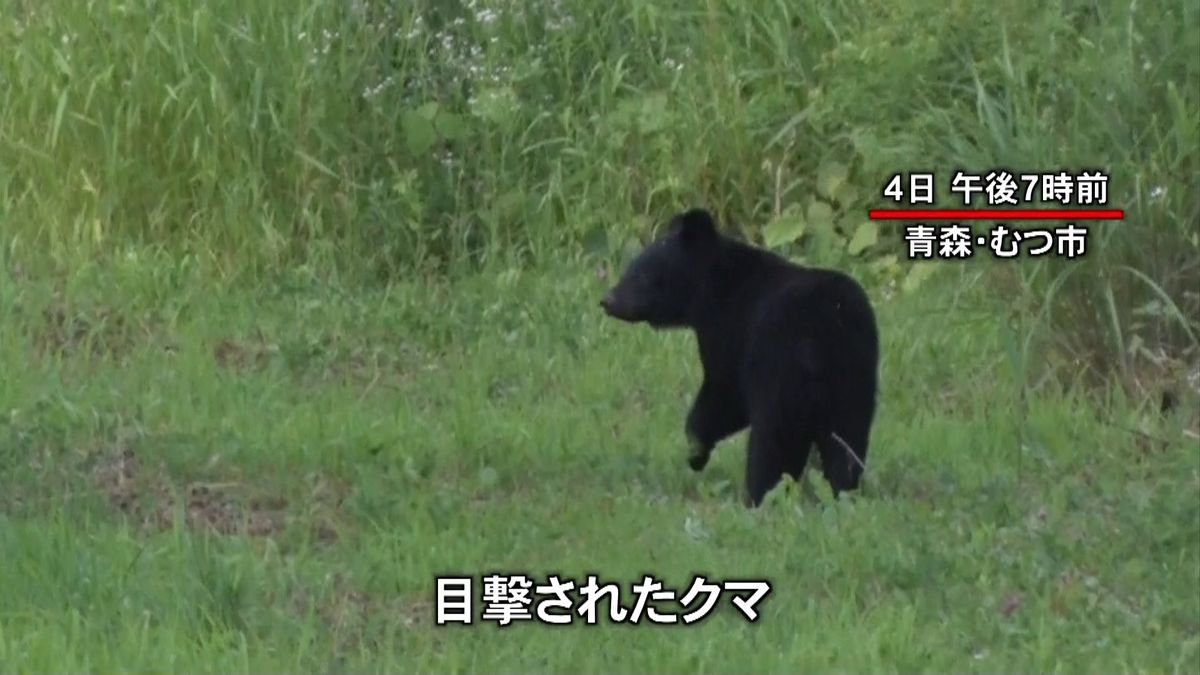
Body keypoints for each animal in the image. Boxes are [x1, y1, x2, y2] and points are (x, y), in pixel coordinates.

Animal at [600, 205, 883, 504]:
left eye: (641, 274)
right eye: (629, 268)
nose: (607, 300)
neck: (716, 285)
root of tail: (824, 332)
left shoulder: (730, 333)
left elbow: (725, 393)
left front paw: (695, 453)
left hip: (784, 375)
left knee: (774, 442)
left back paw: (758, 497)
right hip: (853, 381)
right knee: (847, 441)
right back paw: (843, 492)